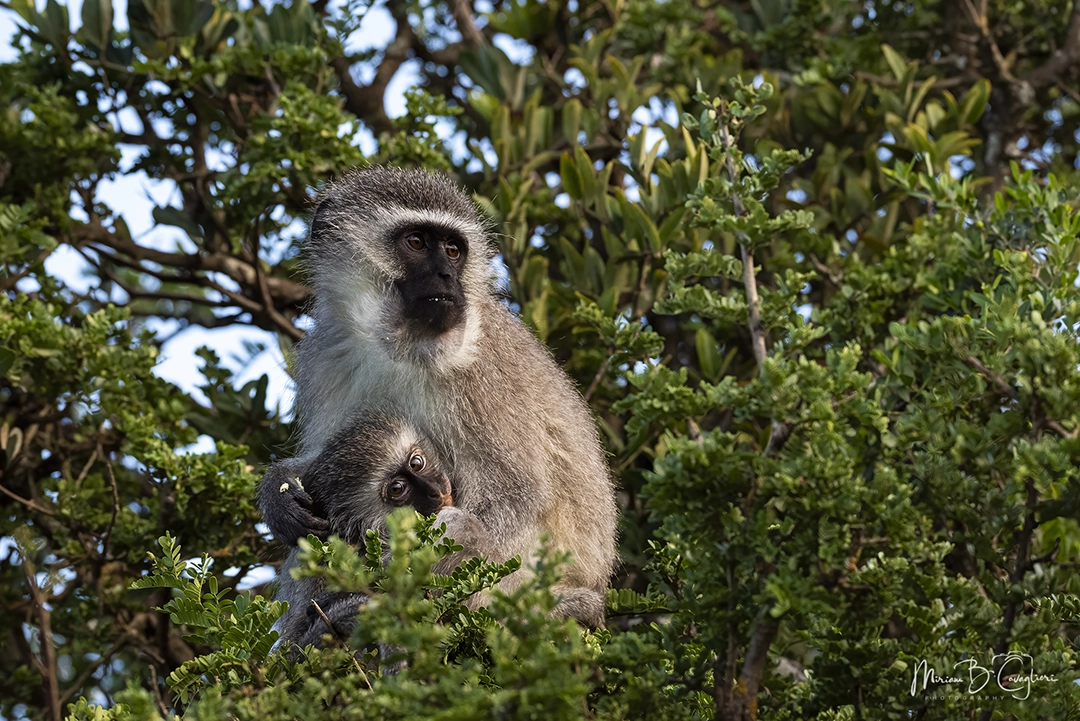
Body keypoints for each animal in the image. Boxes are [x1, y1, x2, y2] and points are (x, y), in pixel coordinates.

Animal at [266, 166, 617, 629]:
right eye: (416, 242)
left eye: (453, 251)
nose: (447, 278)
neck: (399, 348)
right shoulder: (326, 357)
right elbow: (326, 467)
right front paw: (278, 495)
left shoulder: (481, 376)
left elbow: (518, 495)